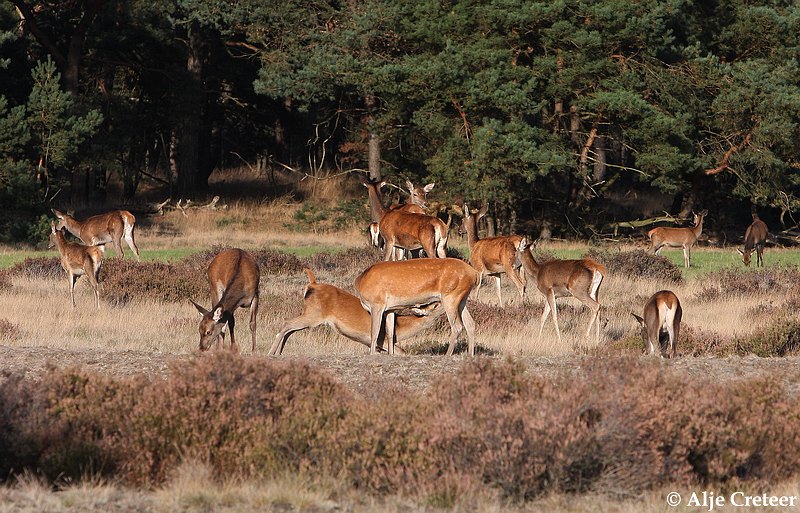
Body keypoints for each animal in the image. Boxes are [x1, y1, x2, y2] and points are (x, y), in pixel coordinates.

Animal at [268, 268, 444, 356]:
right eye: (435, 305)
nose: (442, 300)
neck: (401, 328)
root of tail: (312, 284)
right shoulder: (380, 341)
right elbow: (402, 352)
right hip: (313, 314)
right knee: (287, 323)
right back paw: (271, 352)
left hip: (309, 314)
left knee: (291, 329)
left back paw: (279, 352)